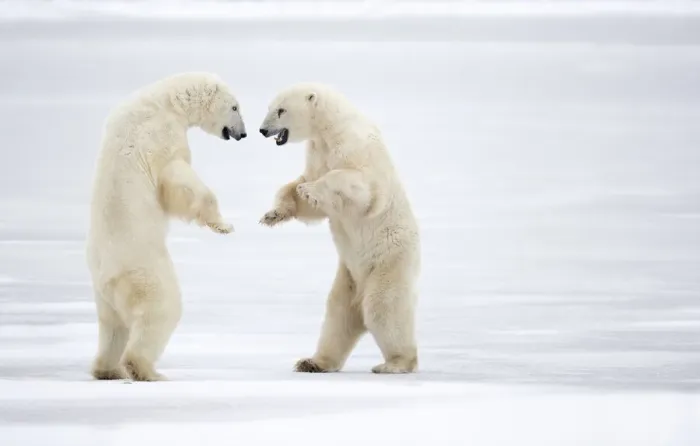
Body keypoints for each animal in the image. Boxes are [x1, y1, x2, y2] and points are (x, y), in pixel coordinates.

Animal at [86, 72, 246, 381]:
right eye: (235, 107)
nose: (242, 134)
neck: (166, 101)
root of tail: (107, 277)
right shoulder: (160, 136)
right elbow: (177, 178)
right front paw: (223, 225)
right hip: (145, 272)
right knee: (161, 310)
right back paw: (145, 370)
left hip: (102, 295)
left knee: (113, 327)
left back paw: (108, 369)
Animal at [258, 83, 421, 374]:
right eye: (270, 107)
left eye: (281, 110)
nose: (262, 130)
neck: (329, 129)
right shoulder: (317, 152)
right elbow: (305, 198)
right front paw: (274, 213)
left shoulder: (354, 148)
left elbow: (358, 185)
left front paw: (310, 189)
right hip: (348, 277)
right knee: (338, 316)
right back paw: (312, 362)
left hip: (389, 261)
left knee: (382, 308)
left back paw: (394, 363)